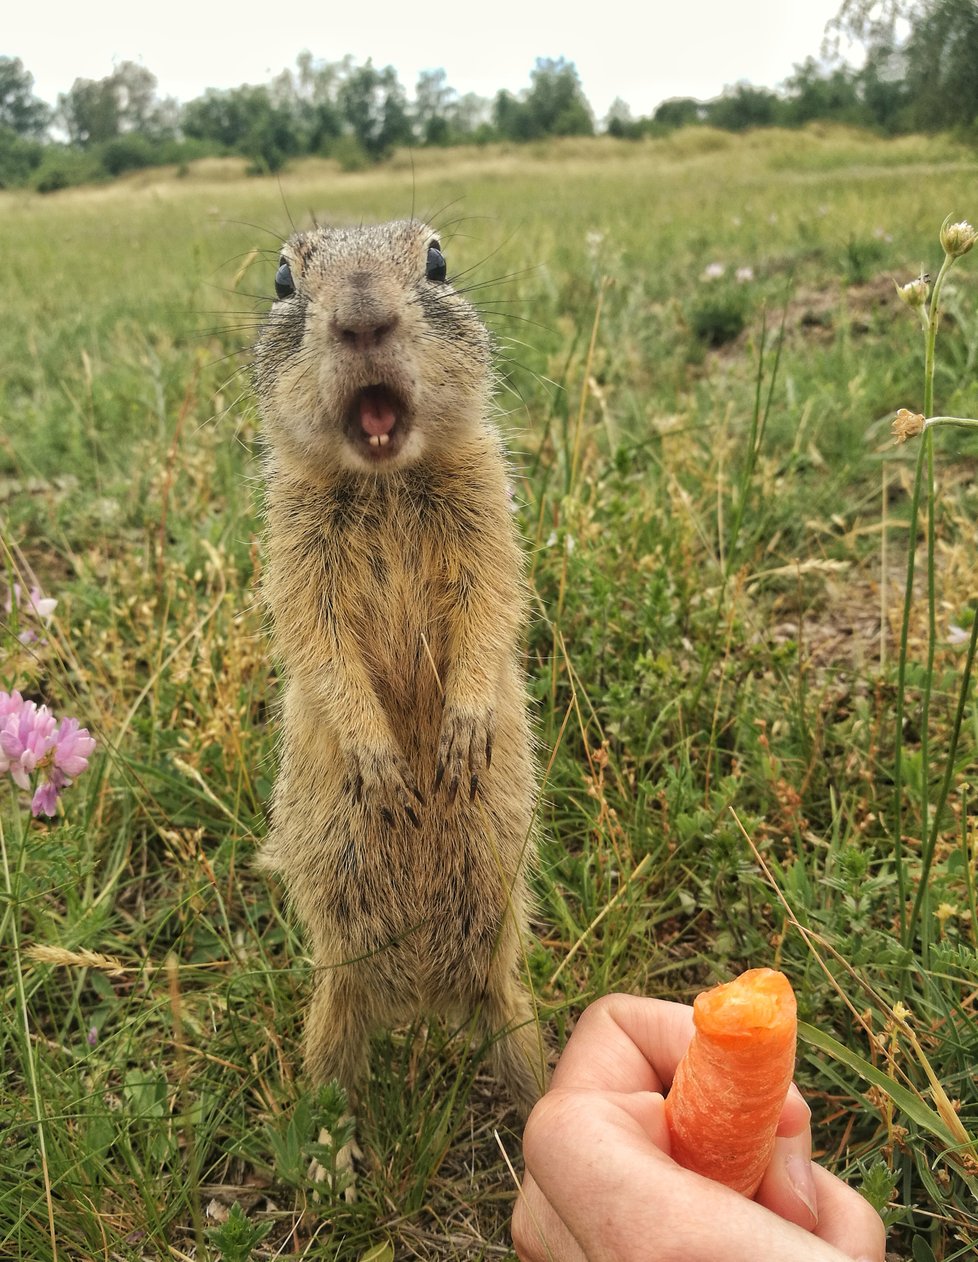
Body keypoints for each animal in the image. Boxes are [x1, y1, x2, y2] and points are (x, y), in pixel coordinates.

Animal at [254, 219, 542, 1155]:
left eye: (438, 261)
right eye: (283, 279)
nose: (364, 317)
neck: (383, 479)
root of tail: (420, 1000)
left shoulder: (488, 513)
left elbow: (492, 605)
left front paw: (463, 736)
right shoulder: (295, 550)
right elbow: (321, 647)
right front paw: (382, 766)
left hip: (510, 999)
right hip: (333, 1000)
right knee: (332, 1075)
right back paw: (330, 1160)